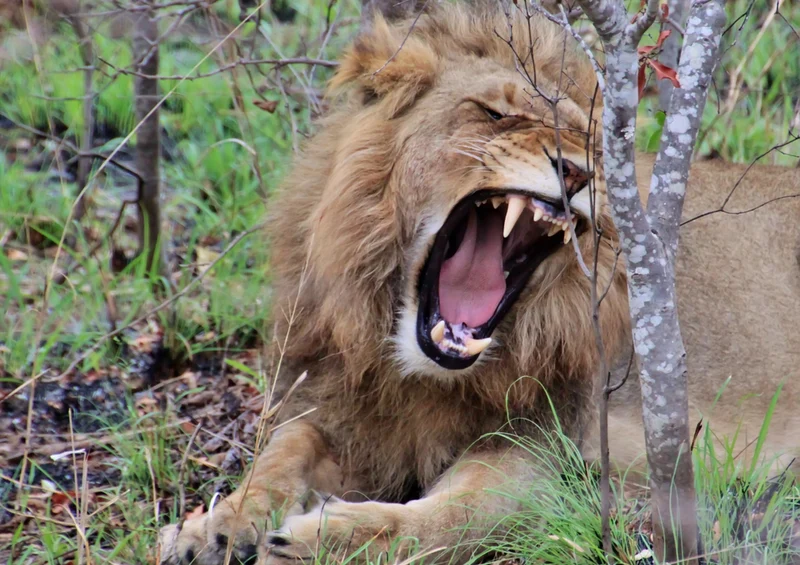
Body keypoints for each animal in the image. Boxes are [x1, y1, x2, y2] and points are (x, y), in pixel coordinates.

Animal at [160, 4, 800, 564]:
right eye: (494, 113)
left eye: (591, 144)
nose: (579, 172)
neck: (408, 371)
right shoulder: (343, 410)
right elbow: (283, 452)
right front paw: (218, 525)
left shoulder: (553, 454)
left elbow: (456, 517)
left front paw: (328, 540)